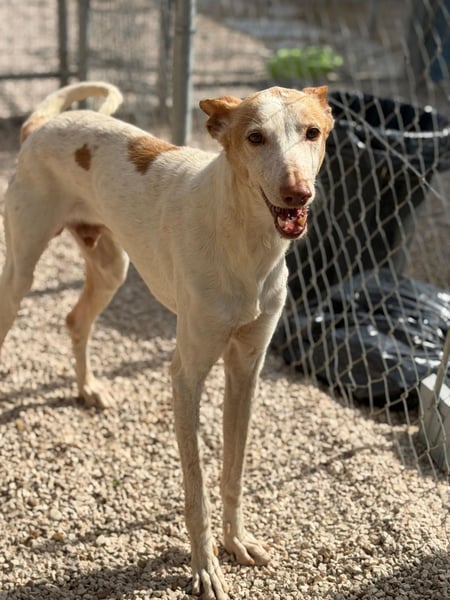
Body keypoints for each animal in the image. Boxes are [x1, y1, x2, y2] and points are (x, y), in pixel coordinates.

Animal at [0, 81, 333, 599]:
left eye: (312, 132)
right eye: (255, 137)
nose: (297, 193)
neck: (244, 241)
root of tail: (41, 126)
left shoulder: (246, 371)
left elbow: (233, 474)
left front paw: (237, 542)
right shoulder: (186, 375)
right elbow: (196, 490)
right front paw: (204, 567)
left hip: (111, 268)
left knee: (75, 321)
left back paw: (88, 389)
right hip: (20, 273)